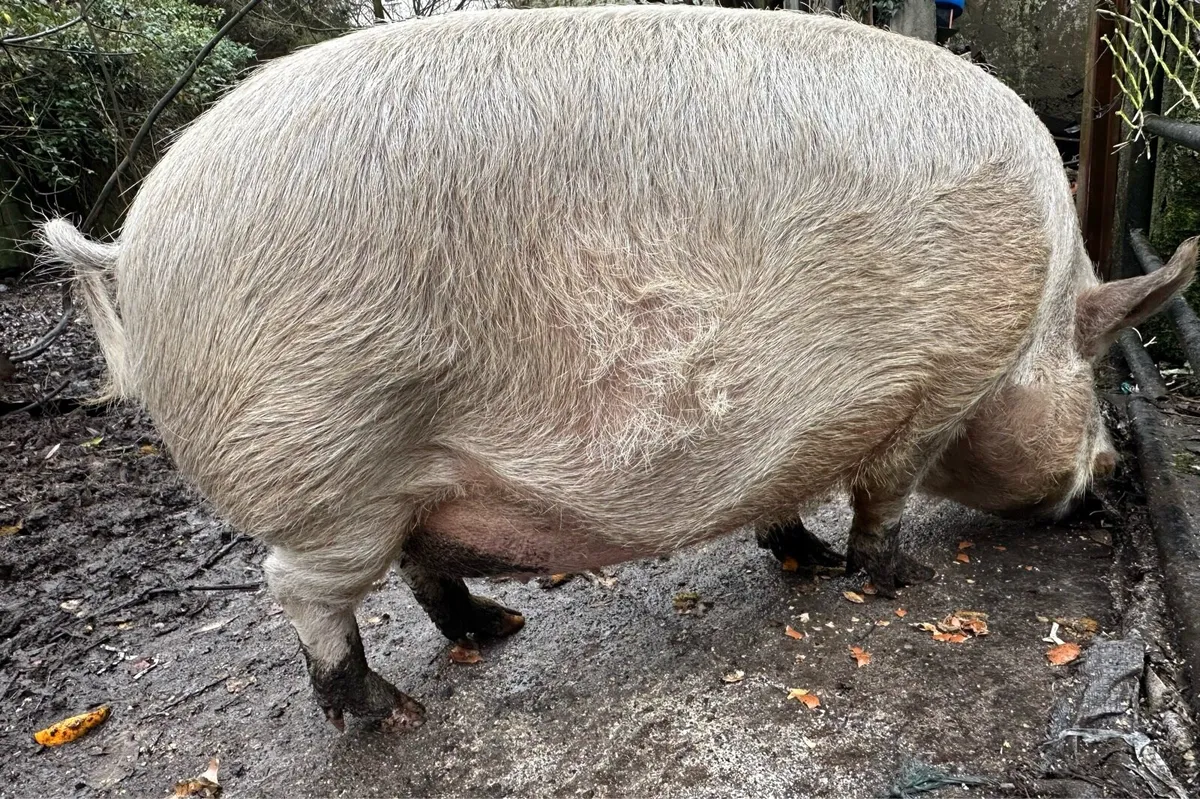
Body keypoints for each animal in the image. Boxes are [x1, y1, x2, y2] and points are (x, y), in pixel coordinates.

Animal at [41, 4, 1195, 731]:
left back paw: (498, 628)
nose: (1108, 479)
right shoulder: (934, 381)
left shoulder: (795, 422)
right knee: (305, 588)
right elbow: (884, 496)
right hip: (329, 456)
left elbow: (780, 494)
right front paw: (886, 579)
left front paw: (805, 558)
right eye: (1093, 377)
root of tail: (131, 245)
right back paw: (388, 713)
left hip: (403, 472)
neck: (1035, 310)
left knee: (419, 562)